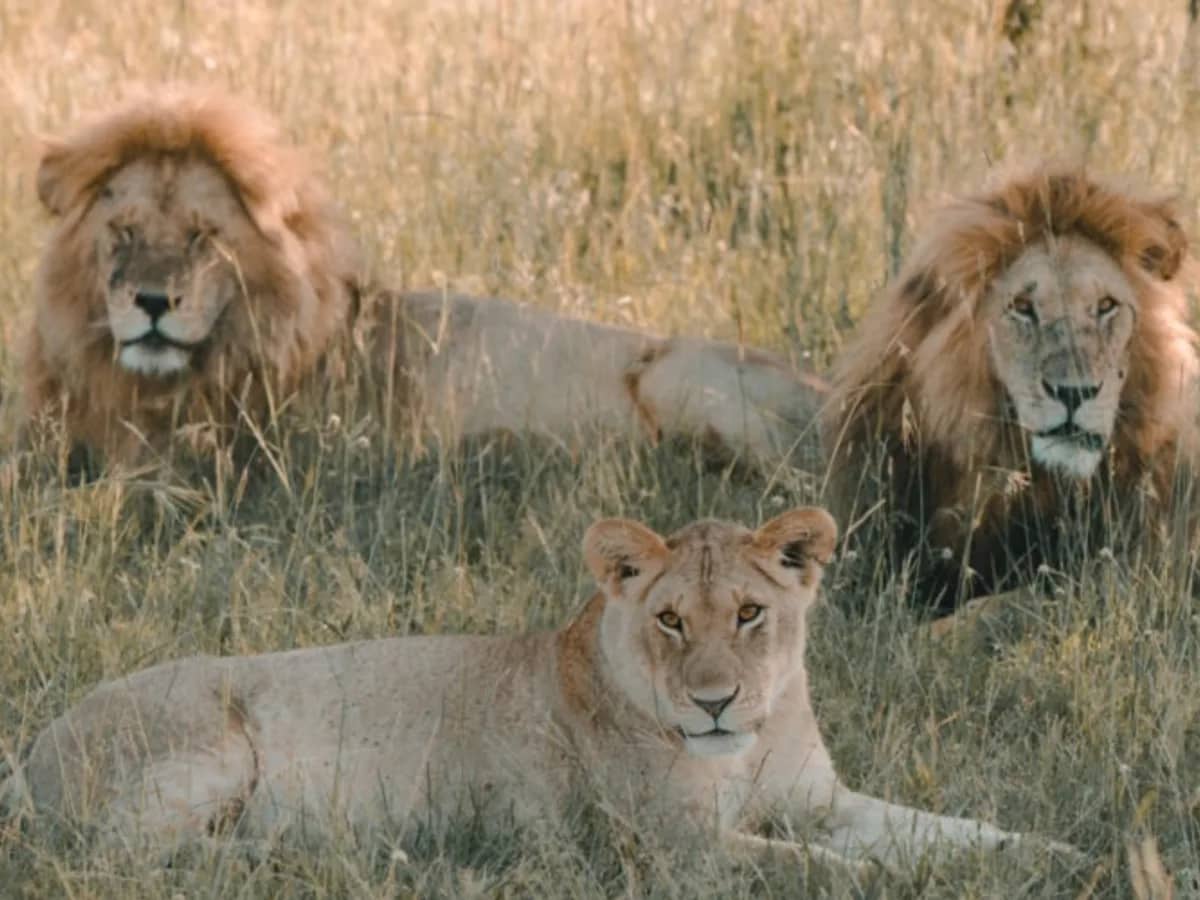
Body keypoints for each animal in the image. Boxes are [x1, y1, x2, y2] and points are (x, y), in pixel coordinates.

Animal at [0, 506, 1071, 870]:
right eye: (671, 620)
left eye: (749, 614)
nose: (714, 701)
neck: (751, 744)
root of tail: (36, 746)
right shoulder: (669, 849)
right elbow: (821, 873)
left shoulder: (822, 801)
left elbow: (941, 829)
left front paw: (1053, 853)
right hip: (210, 739)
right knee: (119, 857)